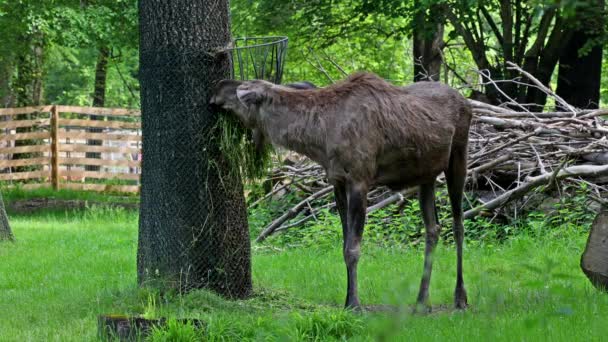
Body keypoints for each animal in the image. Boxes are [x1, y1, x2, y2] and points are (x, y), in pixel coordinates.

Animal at [211, 73, 472, 312]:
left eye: (243, 87)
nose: (218, 86)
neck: (320, 139)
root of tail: (467, 101)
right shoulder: (337, 182)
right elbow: (344, 246)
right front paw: (348, 300)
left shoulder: (359, 180)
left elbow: (353, 248)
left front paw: (355, 304)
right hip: (426, 175)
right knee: (433, 228)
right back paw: (421, 301)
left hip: (458, 157)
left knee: (458, 225)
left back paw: (460, 297)